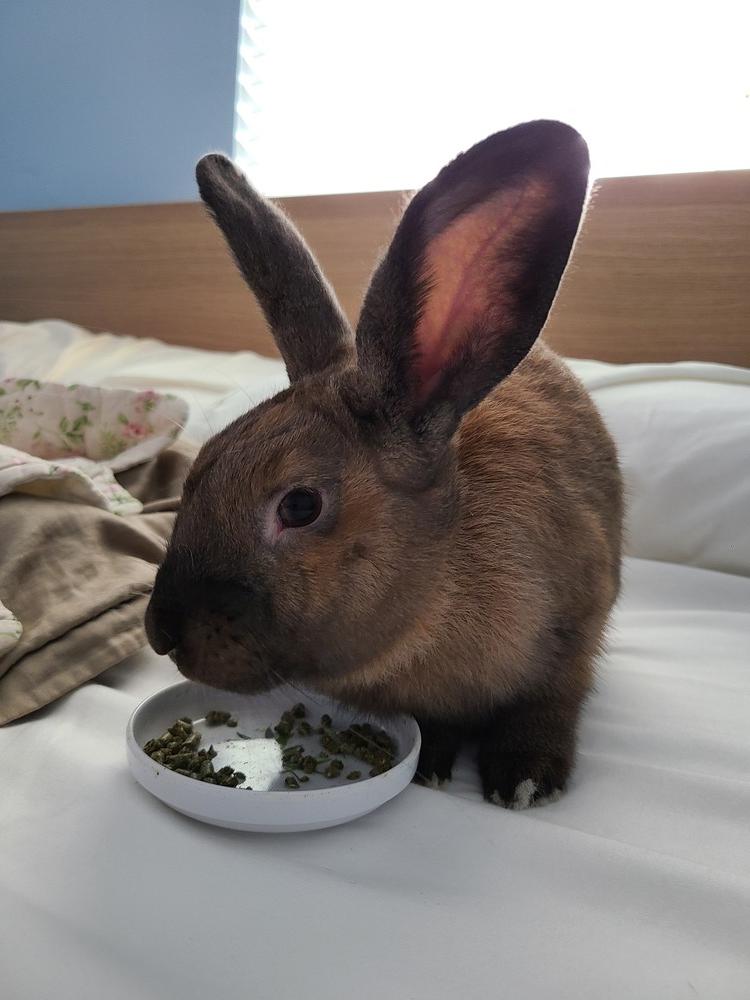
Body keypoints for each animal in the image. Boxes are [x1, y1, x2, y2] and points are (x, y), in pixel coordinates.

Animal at [145, 120, 623, 809]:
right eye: (199, 468)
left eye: (299, 506)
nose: (161, 631)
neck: (434, 602)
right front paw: (431, 764)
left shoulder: (575, 633)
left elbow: (550, 703)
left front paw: (524, 780)